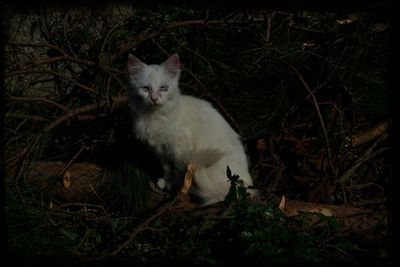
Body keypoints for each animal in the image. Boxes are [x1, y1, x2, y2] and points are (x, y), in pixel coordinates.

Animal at [126, 53, 255, 206]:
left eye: (163, 88)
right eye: (145, 88)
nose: (154, 98)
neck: (154, 117)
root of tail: (243, 185)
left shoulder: (179, 149)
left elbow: (178, 171)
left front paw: (174, 187)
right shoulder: (161, 150)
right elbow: (167, 168)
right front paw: (166, 182)